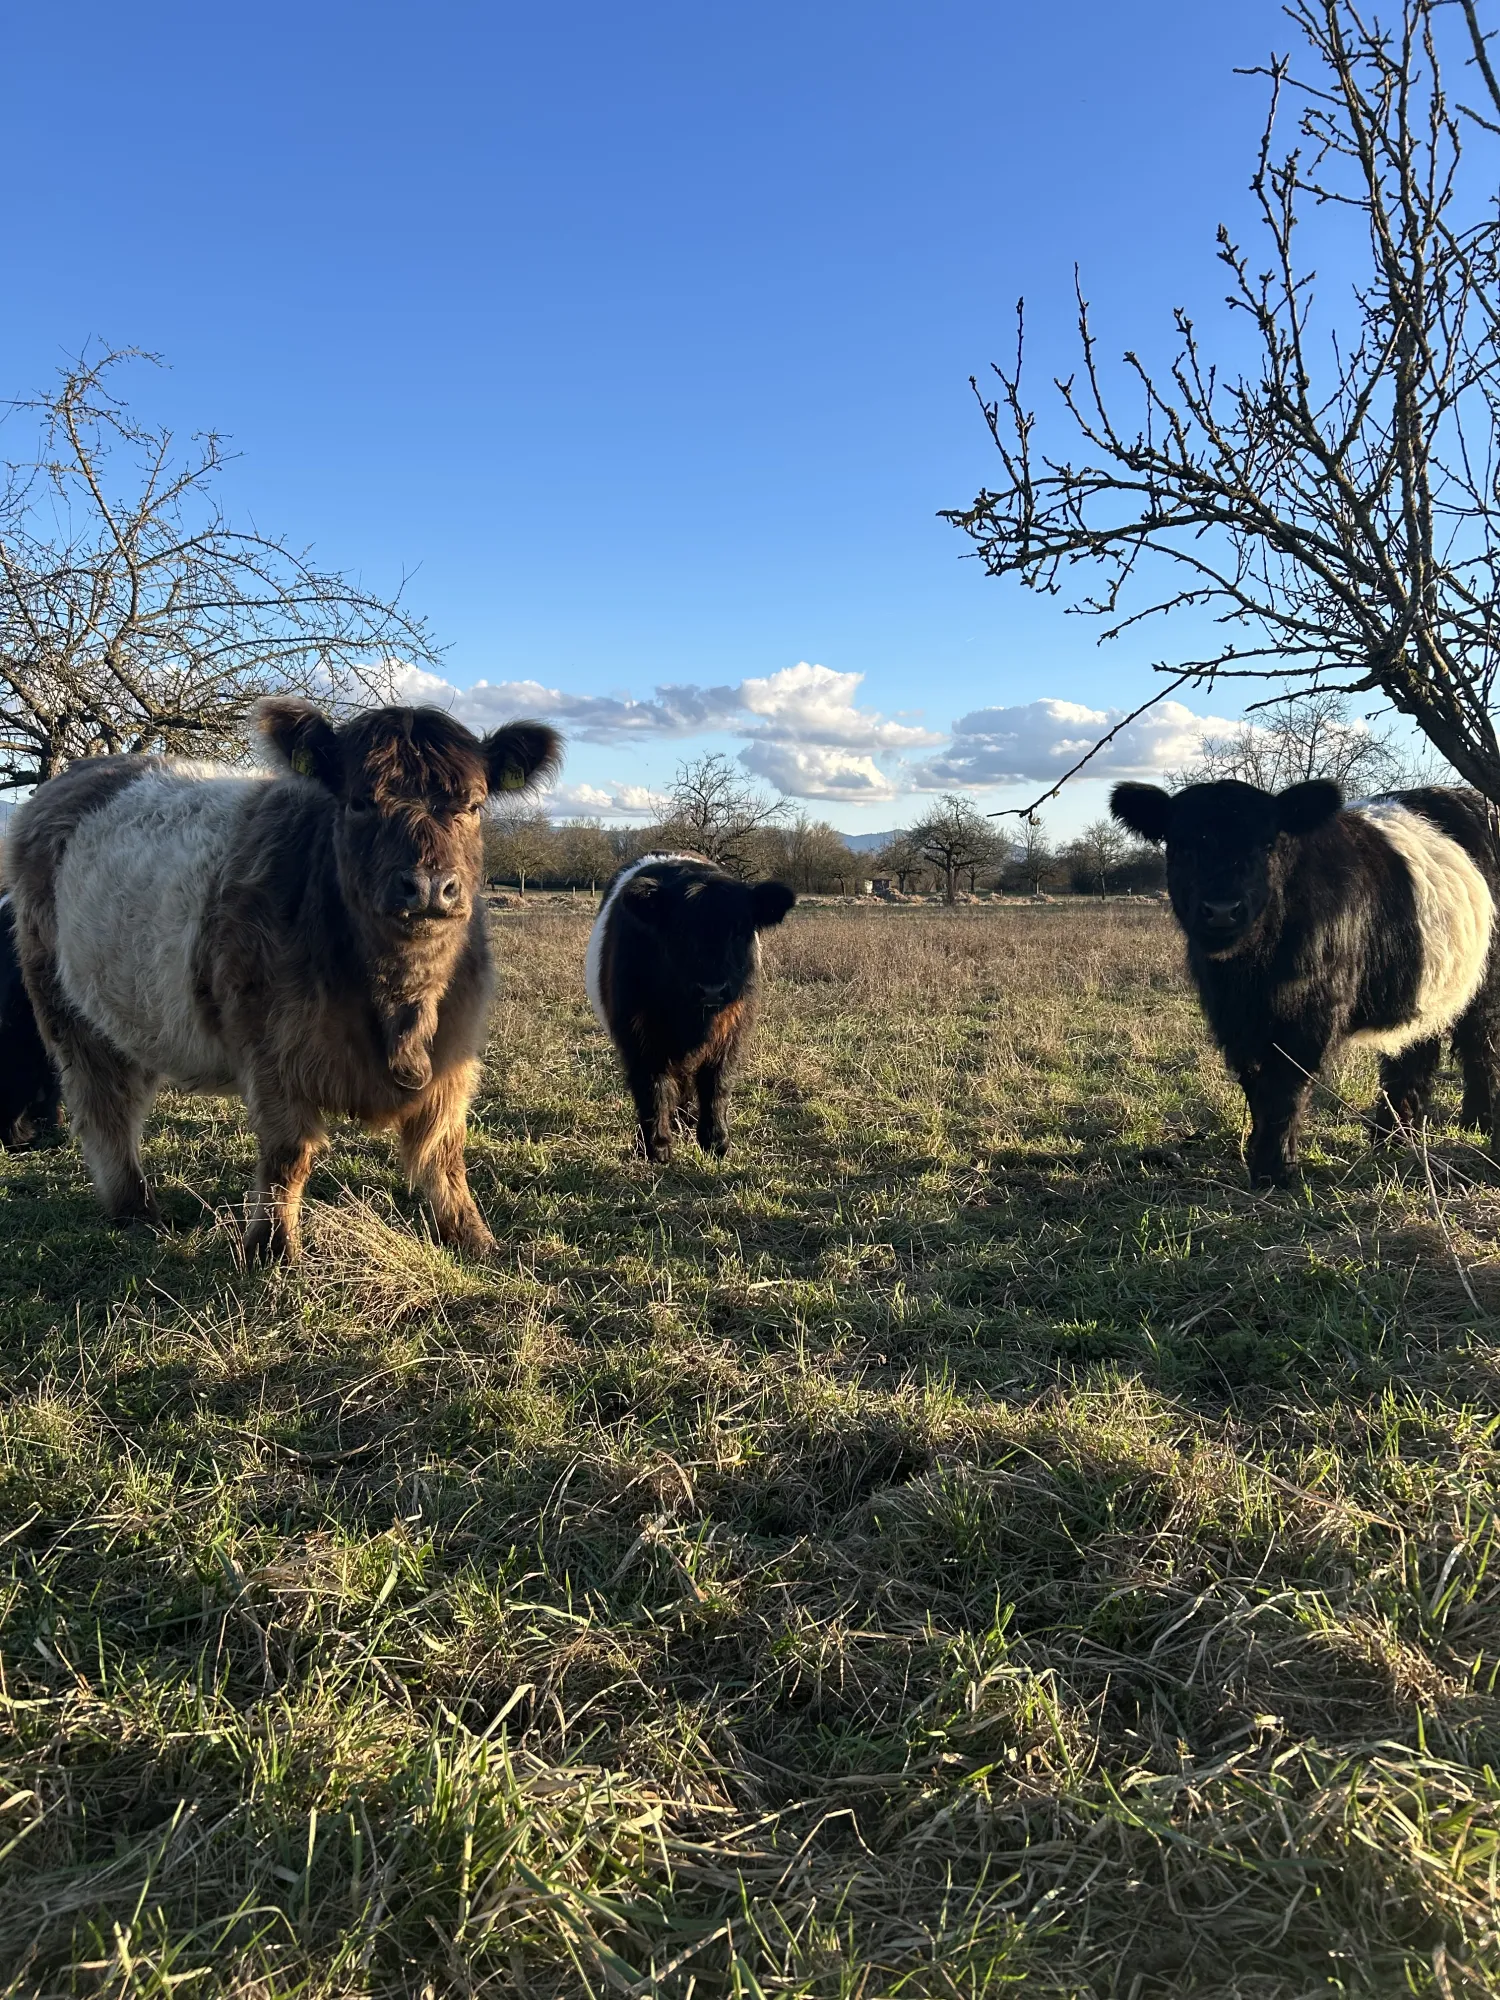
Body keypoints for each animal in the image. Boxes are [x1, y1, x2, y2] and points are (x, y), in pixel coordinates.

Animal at [5, 701, 562, 1260]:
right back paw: (135, 1211)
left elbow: (443, 1152)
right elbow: (288, 1154)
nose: (428, 886)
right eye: (360, 801)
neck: (400, 1000)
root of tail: (74, 778)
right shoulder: (274, 1051)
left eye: (474, 805)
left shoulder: (455, 1053)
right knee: (106, 1110)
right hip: (69, 1011)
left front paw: (474, 1239)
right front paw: (272, 1251)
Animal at [586, 853, 796, 1161]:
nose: (712, 989)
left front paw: (716, 1142)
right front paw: (656, 1146)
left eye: (740, 931)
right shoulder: (639, 1034)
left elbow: (717, 1084)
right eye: (680, 931)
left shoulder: (732, 1032)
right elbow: (652, 1086)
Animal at [1110, 777, 1500, 1185]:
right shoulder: (1233, 1019)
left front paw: (1275, 1170)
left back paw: (1477, 1122)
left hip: (1487, 977)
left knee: (1480, 1044)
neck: (1254, 972)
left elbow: (1286, 1085)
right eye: (1181, 845)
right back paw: (1392, 1136)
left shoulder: (1311, 1013)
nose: (1221, 910)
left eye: (1267, 844)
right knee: (1414, 1051)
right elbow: (1256, 1084)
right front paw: (1262, 1158)